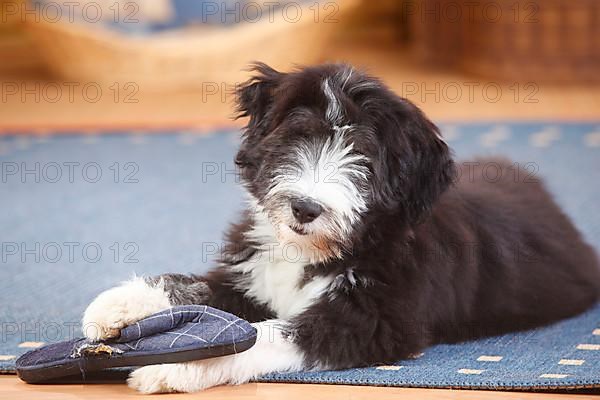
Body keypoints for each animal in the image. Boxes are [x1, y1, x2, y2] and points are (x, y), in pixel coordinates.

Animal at [81, 63, 600, 394]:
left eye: (363, 159)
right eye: (299, 136)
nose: (305, 208)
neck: (316, 251)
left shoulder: (373, 320)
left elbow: (267, 334)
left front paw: (181, 364)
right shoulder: (250, 277)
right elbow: (202, 287)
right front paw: (120, 304)